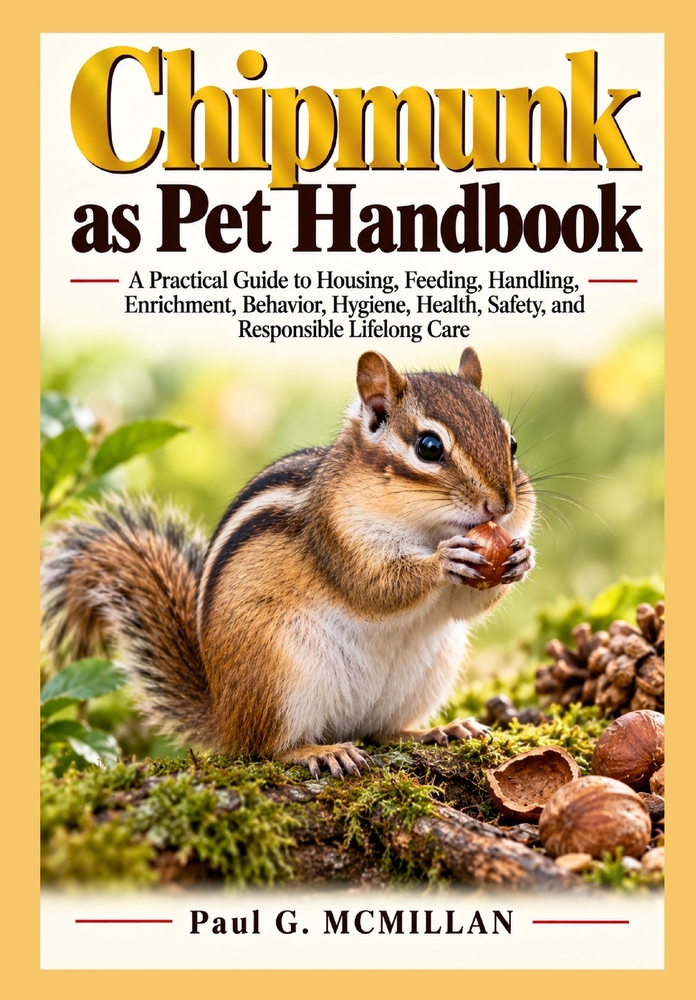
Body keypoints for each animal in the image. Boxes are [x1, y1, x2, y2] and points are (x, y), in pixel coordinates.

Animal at [41, 348, 535, 778]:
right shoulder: (335, 537)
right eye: (429, 447)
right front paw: (444, 561)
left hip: (428, 671)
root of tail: (222, 714)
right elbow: (375, 586)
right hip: (279, 674)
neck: (427, 528)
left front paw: (521, 558)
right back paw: (319, 751)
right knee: (264, 748)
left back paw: (437, 730)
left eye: (512, 442)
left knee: (382, 731)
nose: (502, 506)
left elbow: (462, 606)